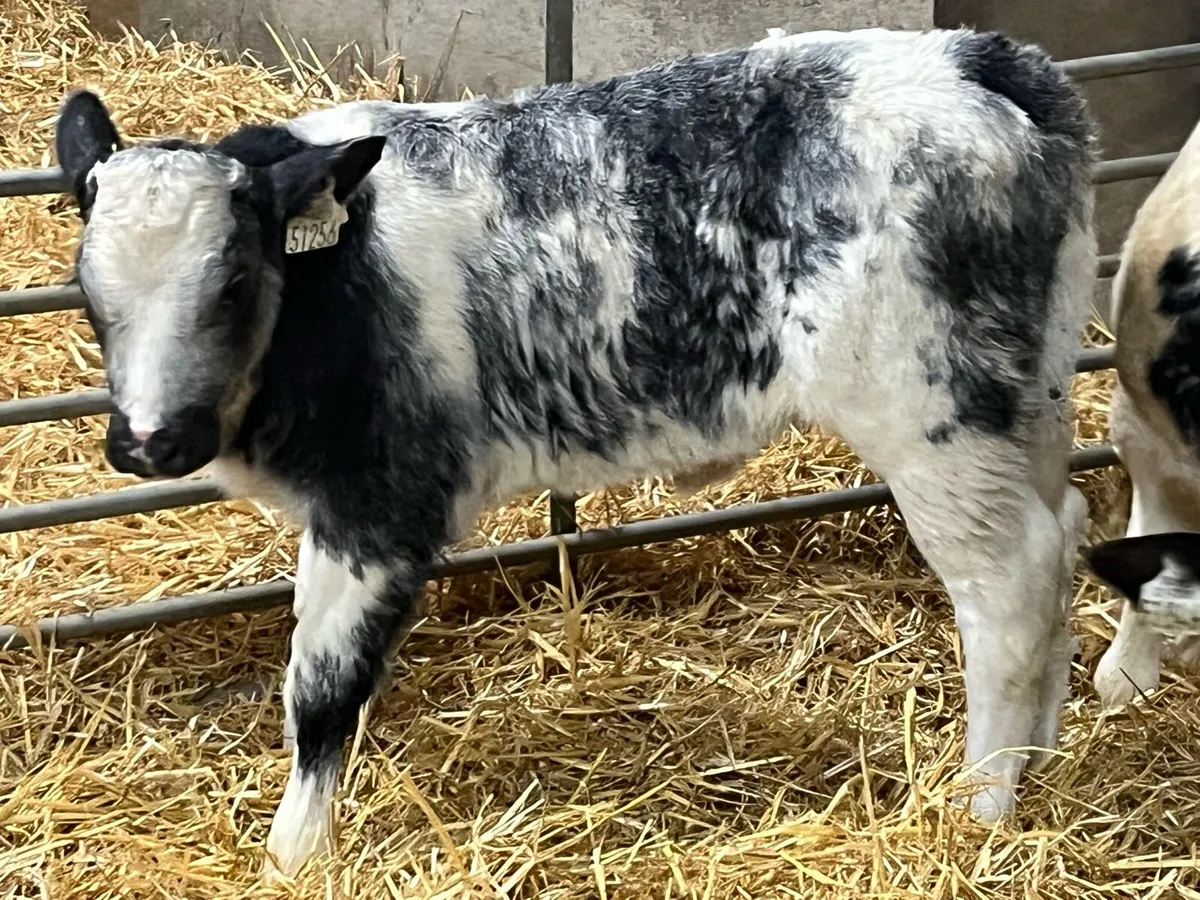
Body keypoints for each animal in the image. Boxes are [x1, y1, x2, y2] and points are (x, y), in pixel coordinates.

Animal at [51, 26, 1096, 877]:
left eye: (232, 284)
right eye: (88, 290)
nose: (148, 442)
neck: (337, 284)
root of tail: (986, 64)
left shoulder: (380, 501)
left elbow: (322, 686)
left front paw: (293, 853)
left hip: (934, 420)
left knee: (1009, 586)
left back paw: (983, 807)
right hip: (1031, 399)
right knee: (1064, 538)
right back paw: (1040, 765)